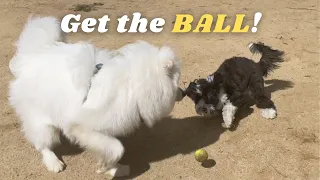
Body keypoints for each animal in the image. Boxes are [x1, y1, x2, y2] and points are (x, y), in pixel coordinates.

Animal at [8, 16, 182, 176]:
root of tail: (31, 56)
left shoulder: (100, 132)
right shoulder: (83, 127)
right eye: (177, 80)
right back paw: (53, 162)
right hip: (42, 123)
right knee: (43, 144)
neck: (132, 85)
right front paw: (108, 168)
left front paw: (113, 168)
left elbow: (109, 150)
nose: (182, 92)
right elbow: (118, 148)